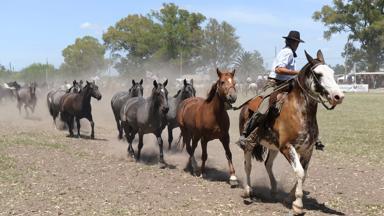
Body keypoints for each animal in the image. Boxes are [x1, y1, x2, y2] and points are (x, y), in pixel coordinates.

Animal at [238, 50, 344, 214]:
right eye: (318, 74)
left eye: (332, 73)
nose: (338, 96)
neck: (299, 112)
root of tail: (246, 105)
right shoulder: (287, 147)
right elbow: (299, 172)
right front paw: (298, 205)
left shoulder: (307, 150)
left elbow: (304, 174)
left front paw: (289, 198)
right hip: (250, 144)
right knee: (247, 165)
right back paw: (247, 190)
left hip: (273, 147)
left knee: (268, 164)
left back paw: (274, 189)